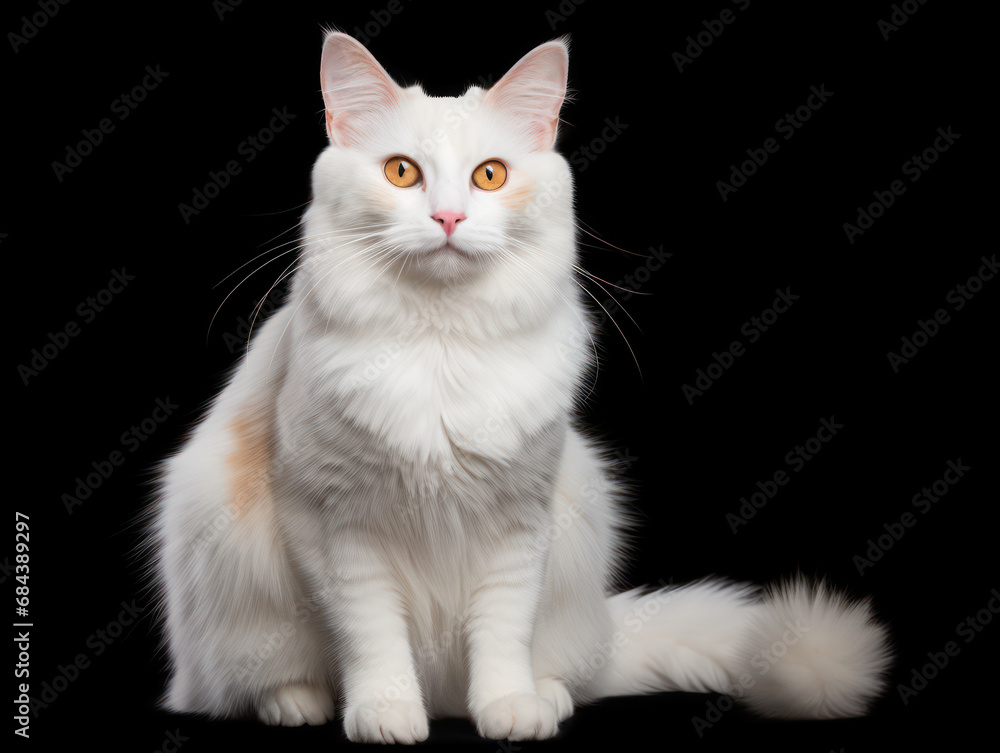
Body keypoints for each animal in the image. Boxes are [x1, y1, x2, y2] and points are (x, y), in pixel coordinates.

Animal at [150, 30, 892, 740]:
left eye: (489, 176)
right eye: (401, 172)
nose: (449, 218)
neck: (442, 343)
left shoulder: (521, 520)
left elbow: (504, 632)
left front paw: (510, 708)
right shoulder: (335, 526)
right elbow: (372, 637)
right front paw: (386, 713)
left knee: (562, 667)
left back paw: (545, 698)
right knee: (251, 681)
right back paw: (299, 704)